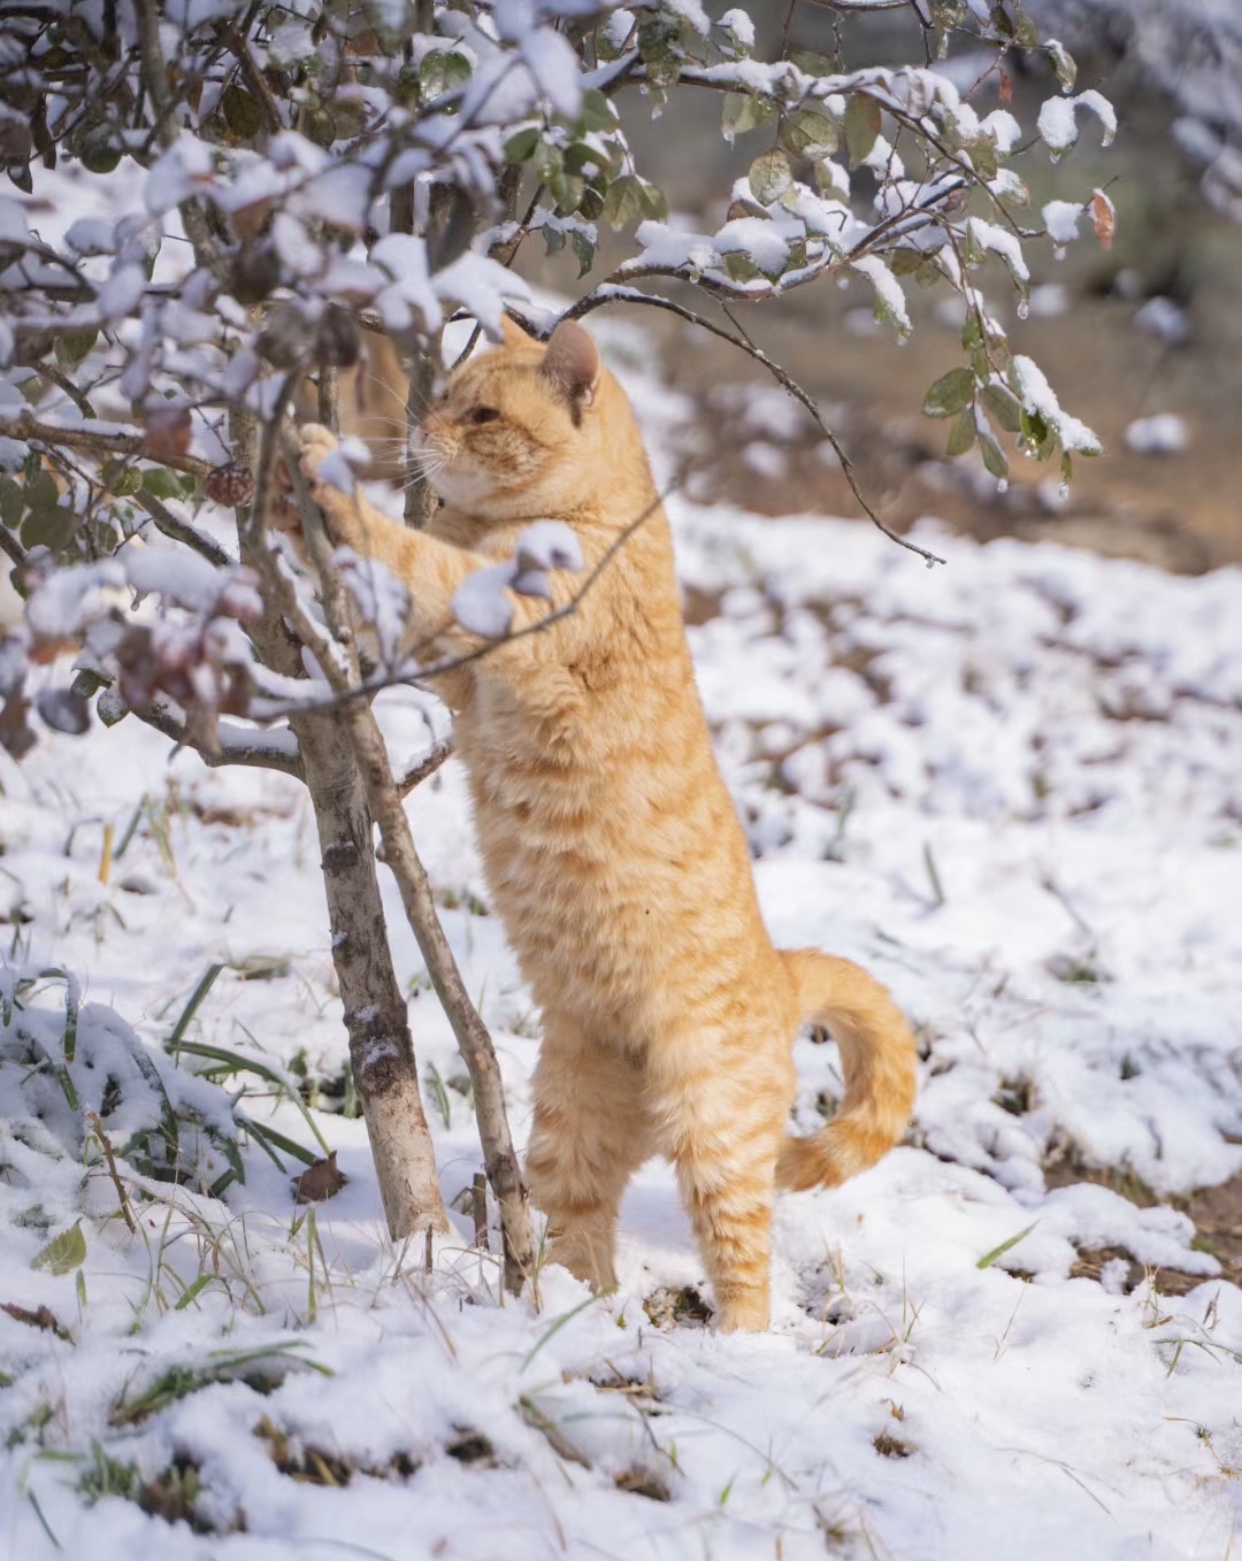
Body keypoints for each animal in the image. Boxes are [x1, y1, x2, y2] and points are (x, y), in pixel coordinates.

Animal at [285, 316, 917, 1329]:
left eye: (483, 414)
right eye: (447, 392)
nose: (421, 427)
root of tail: (783, 970)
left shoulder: (489, 614)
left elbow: (407, 552)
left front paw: (320, 465)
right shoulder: (451, 669)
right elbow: (406, 562)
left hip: (712, 1130)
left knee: (746, 1262)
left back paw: (730, 1347)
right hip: (571, 1115)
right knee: (581, 1227)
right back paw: (572, 1315)